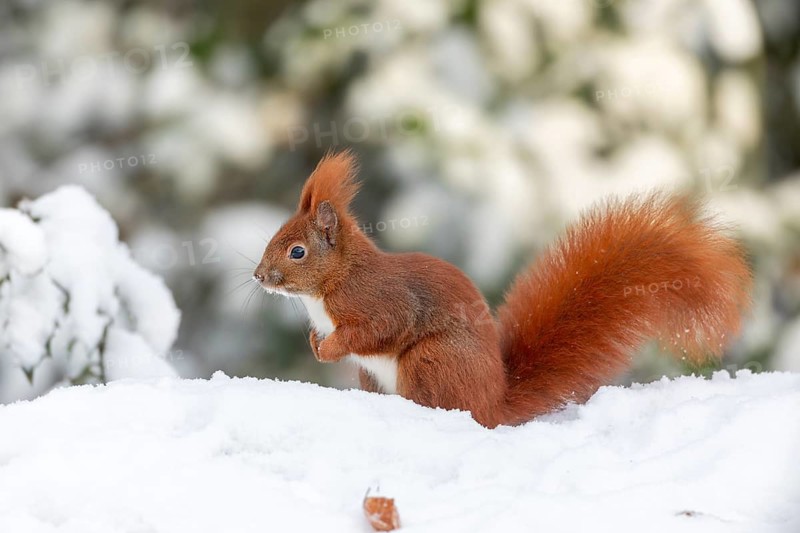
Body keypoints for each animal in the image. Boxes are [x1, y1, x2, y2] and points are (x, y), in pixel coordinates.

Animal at [254, 151, 752, 428]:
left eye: (296, 251)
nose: (259, 276)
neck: (331, 284)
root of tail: (494, 404)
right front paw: (315, 342)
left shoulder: (379, 302)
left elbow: (377, 329)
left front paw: (328, 347)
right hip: (373, 377)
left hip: (430, 362)